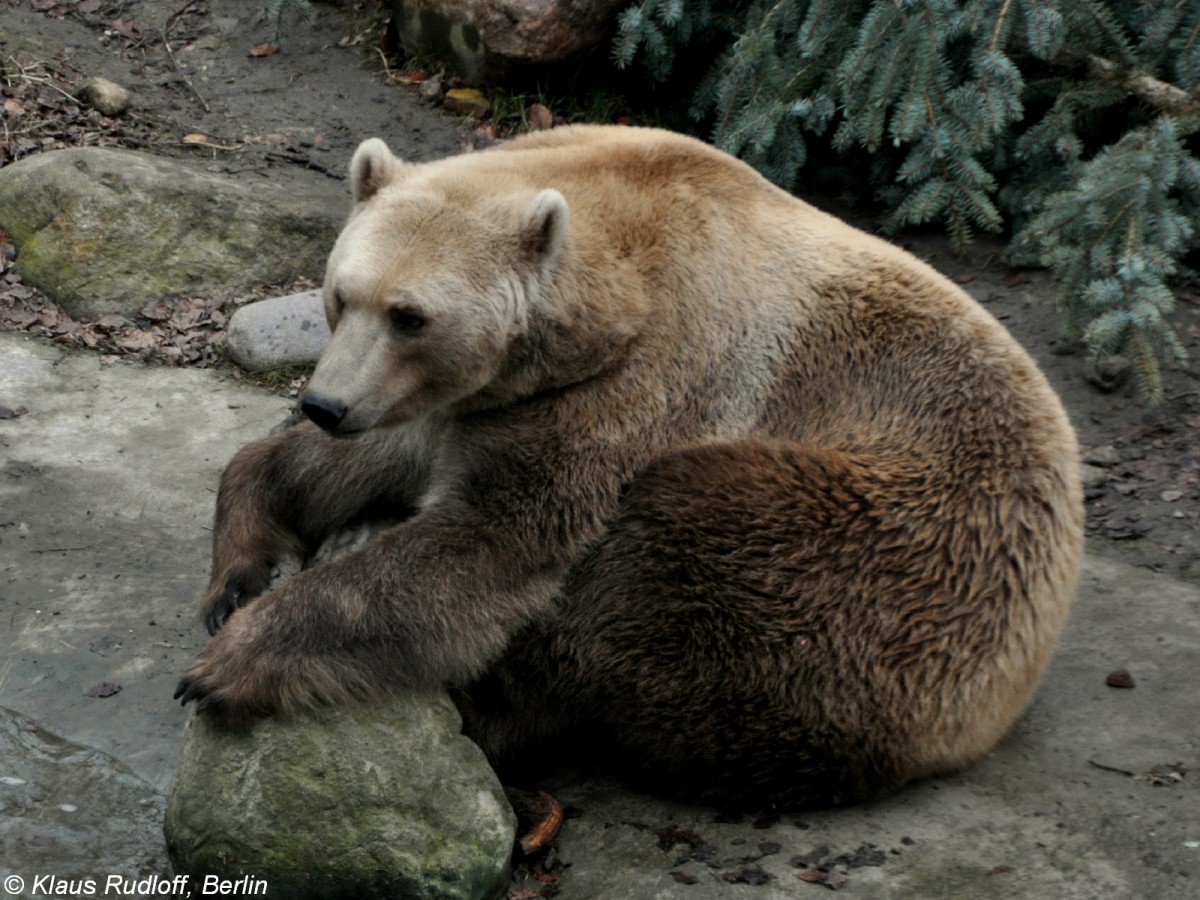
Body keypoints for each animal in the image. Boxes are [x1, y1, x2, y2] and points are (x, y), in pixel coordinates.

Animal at [177, 125, 1089, 811]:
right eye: (342, 294)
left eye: (411, 316)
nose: (325, 404)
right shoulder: (473, 401)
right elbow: (367, 458)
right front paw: (241, 569)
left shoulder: (643, 382)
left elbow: (495, 539)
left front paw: (234, 662)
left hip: (893, 561)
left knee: (654, 573)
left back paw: (490, 705)